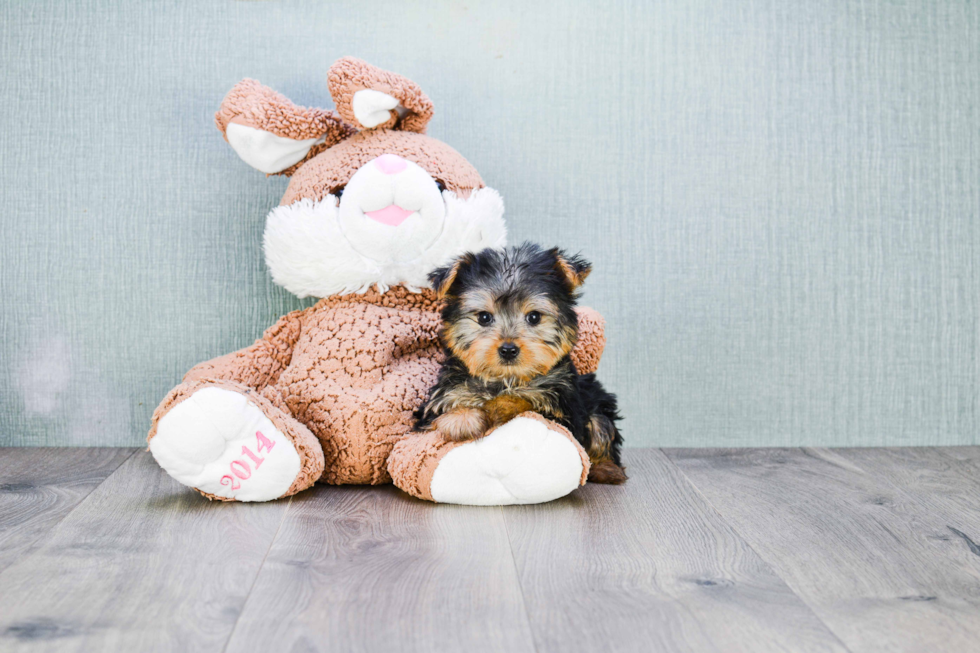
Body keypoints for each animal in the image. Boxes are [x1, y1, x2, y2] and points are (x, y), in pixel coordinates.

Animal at [414, 242, 628, 482]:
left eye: (534, 317)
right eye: (484, 317)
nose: (508, 350)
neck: (506, 378)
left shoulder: (564, 411)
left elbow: (528, 400)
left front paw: (500, 406)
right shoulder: (440, 399)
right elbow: (440, 414)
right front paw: (461, 419)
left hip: (598, 404)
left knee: (602, 427)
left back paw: (607, 469)